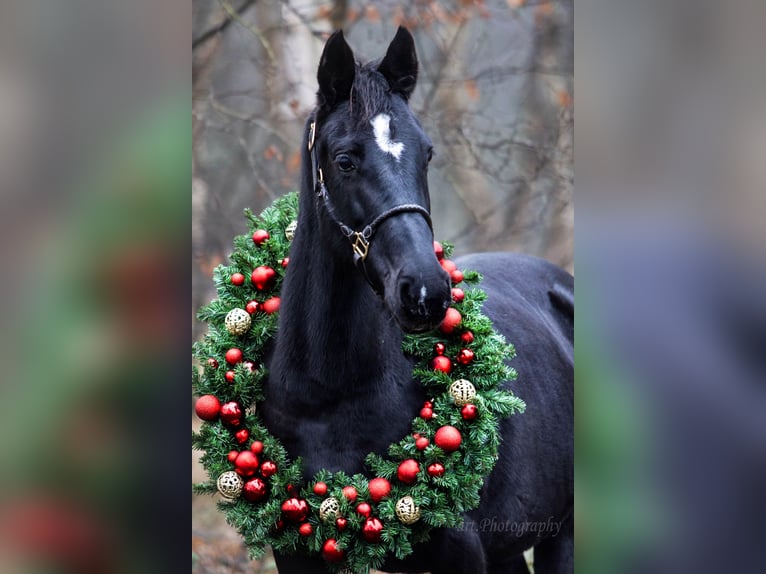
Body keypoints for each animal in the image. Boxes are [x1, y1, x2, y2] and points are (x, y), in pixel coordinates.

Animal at [260, 28, 572, 574]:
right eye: (345, 160)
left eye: (426, 154)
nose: (426, 291)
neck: (328, 392)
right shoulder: (296, 551)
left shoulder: (461, 551)